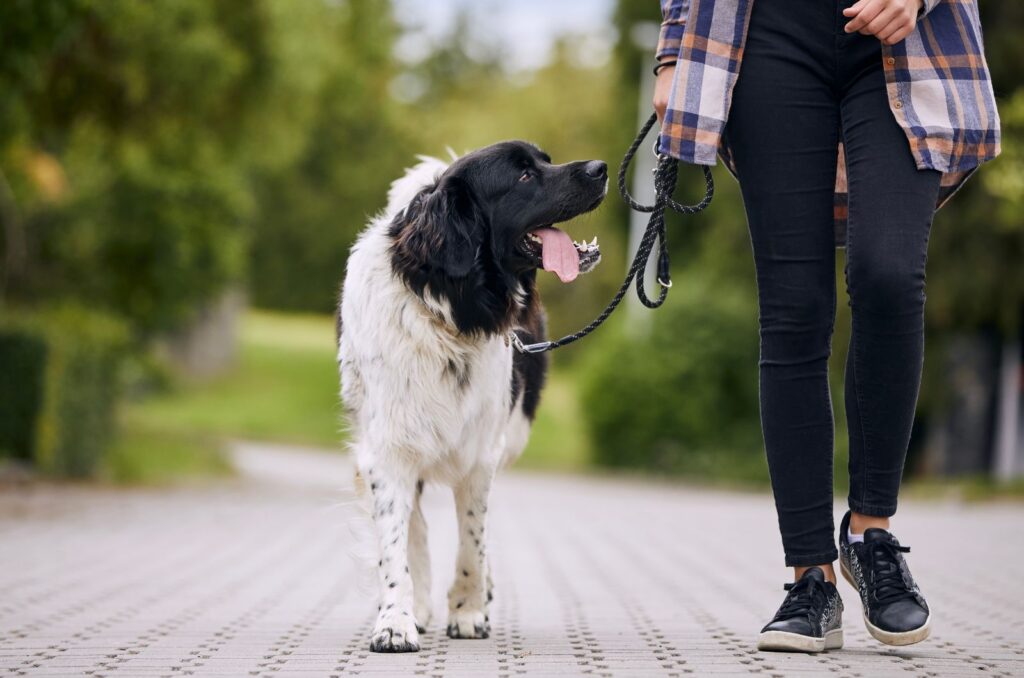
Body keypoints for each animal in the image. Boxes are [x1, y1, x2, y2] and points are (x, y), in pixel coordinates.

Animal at [339, 142, 602, 655]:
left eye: (545, 160)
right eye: (523, 176)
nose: (601, 168)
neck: (447, 311)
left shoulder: (482, 451)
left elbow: (471, 538)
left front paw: (467, 610)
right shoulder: (385, 450)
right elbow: (396, 542)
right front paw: (396, 620)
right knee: (416, 525)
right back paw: (420, 606)